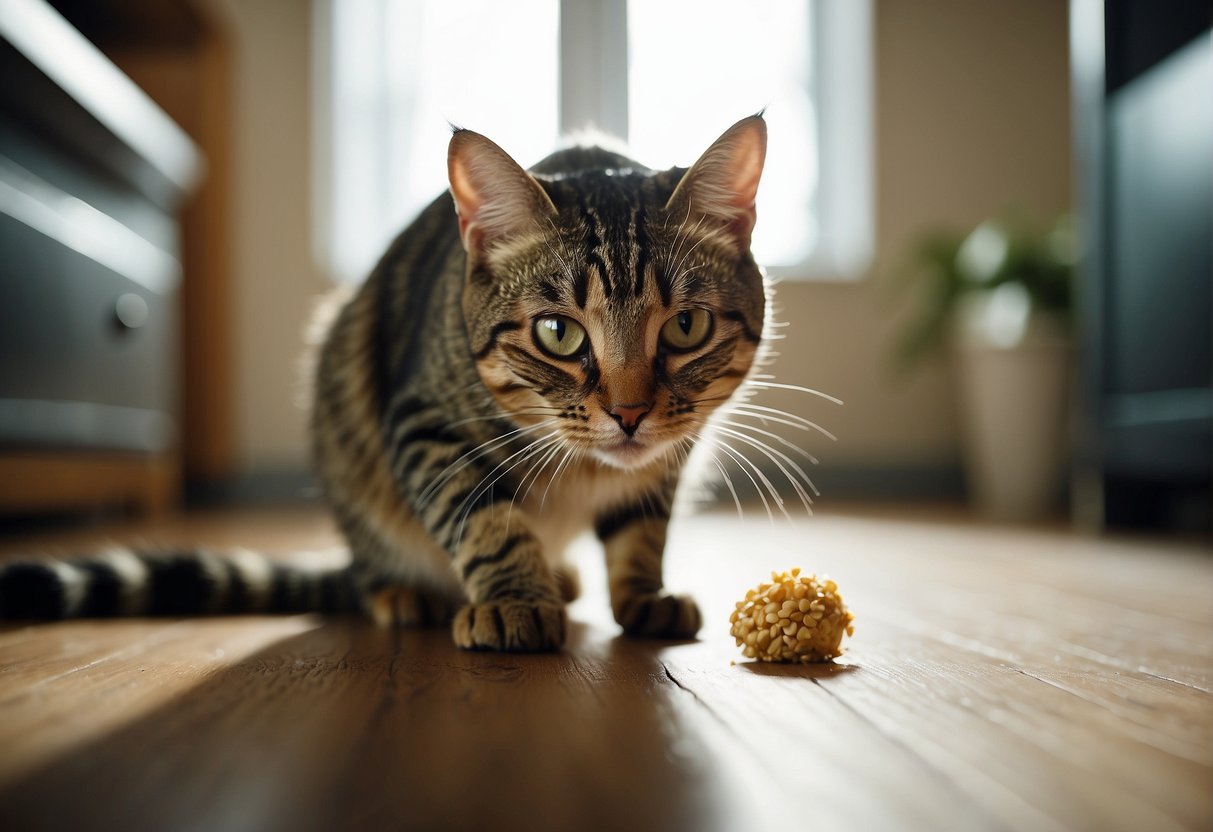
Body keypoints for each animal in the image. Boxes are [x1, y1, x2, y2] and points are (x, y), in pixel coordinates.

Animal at [0, 115, 771, 650]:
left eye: (686, 327)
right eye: (559, 333)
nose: (629, 413)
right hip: (342, 402)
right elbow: (486, 520)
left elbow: (642, 529)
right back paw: (409, 592)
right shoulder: (425, 429)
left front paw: (645, 595)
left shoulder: (667, 458)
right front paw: (515, 599)